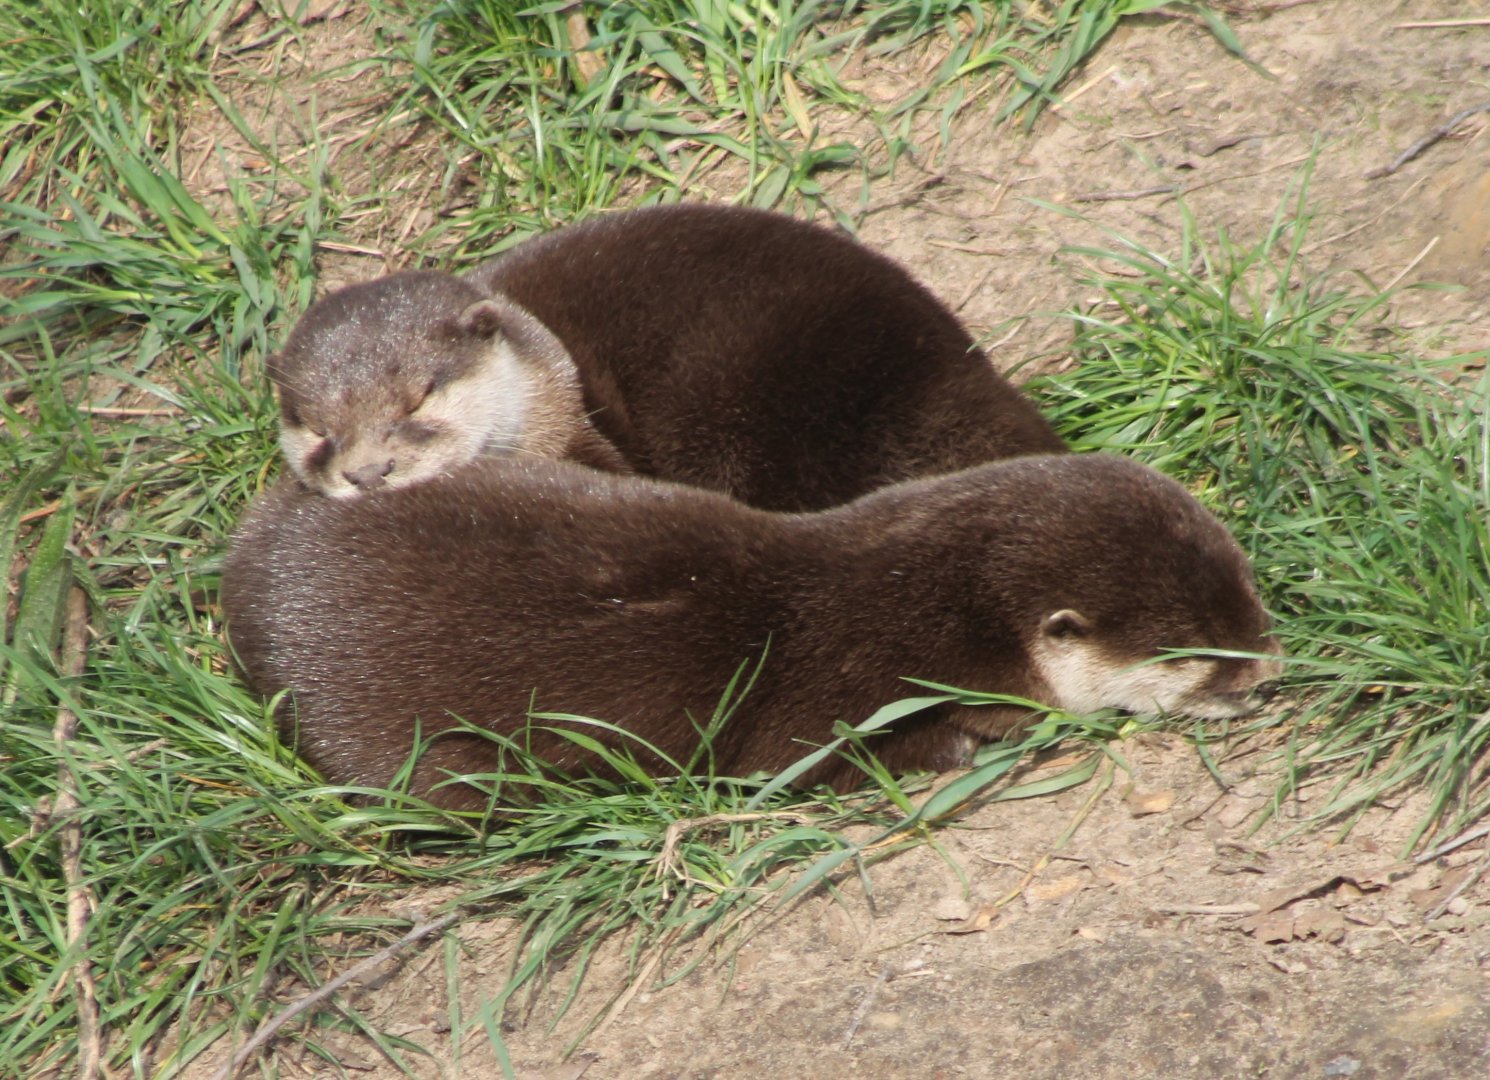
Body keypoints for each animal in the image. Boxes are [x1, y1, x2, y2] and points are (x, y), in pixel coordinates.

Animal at [221, 453, 1281, 812]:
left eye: (1247, 588)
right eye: (1198, 653)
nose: (1266, 669)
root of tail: (248, 571)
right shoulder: (829, 693)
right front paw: (963, 745)